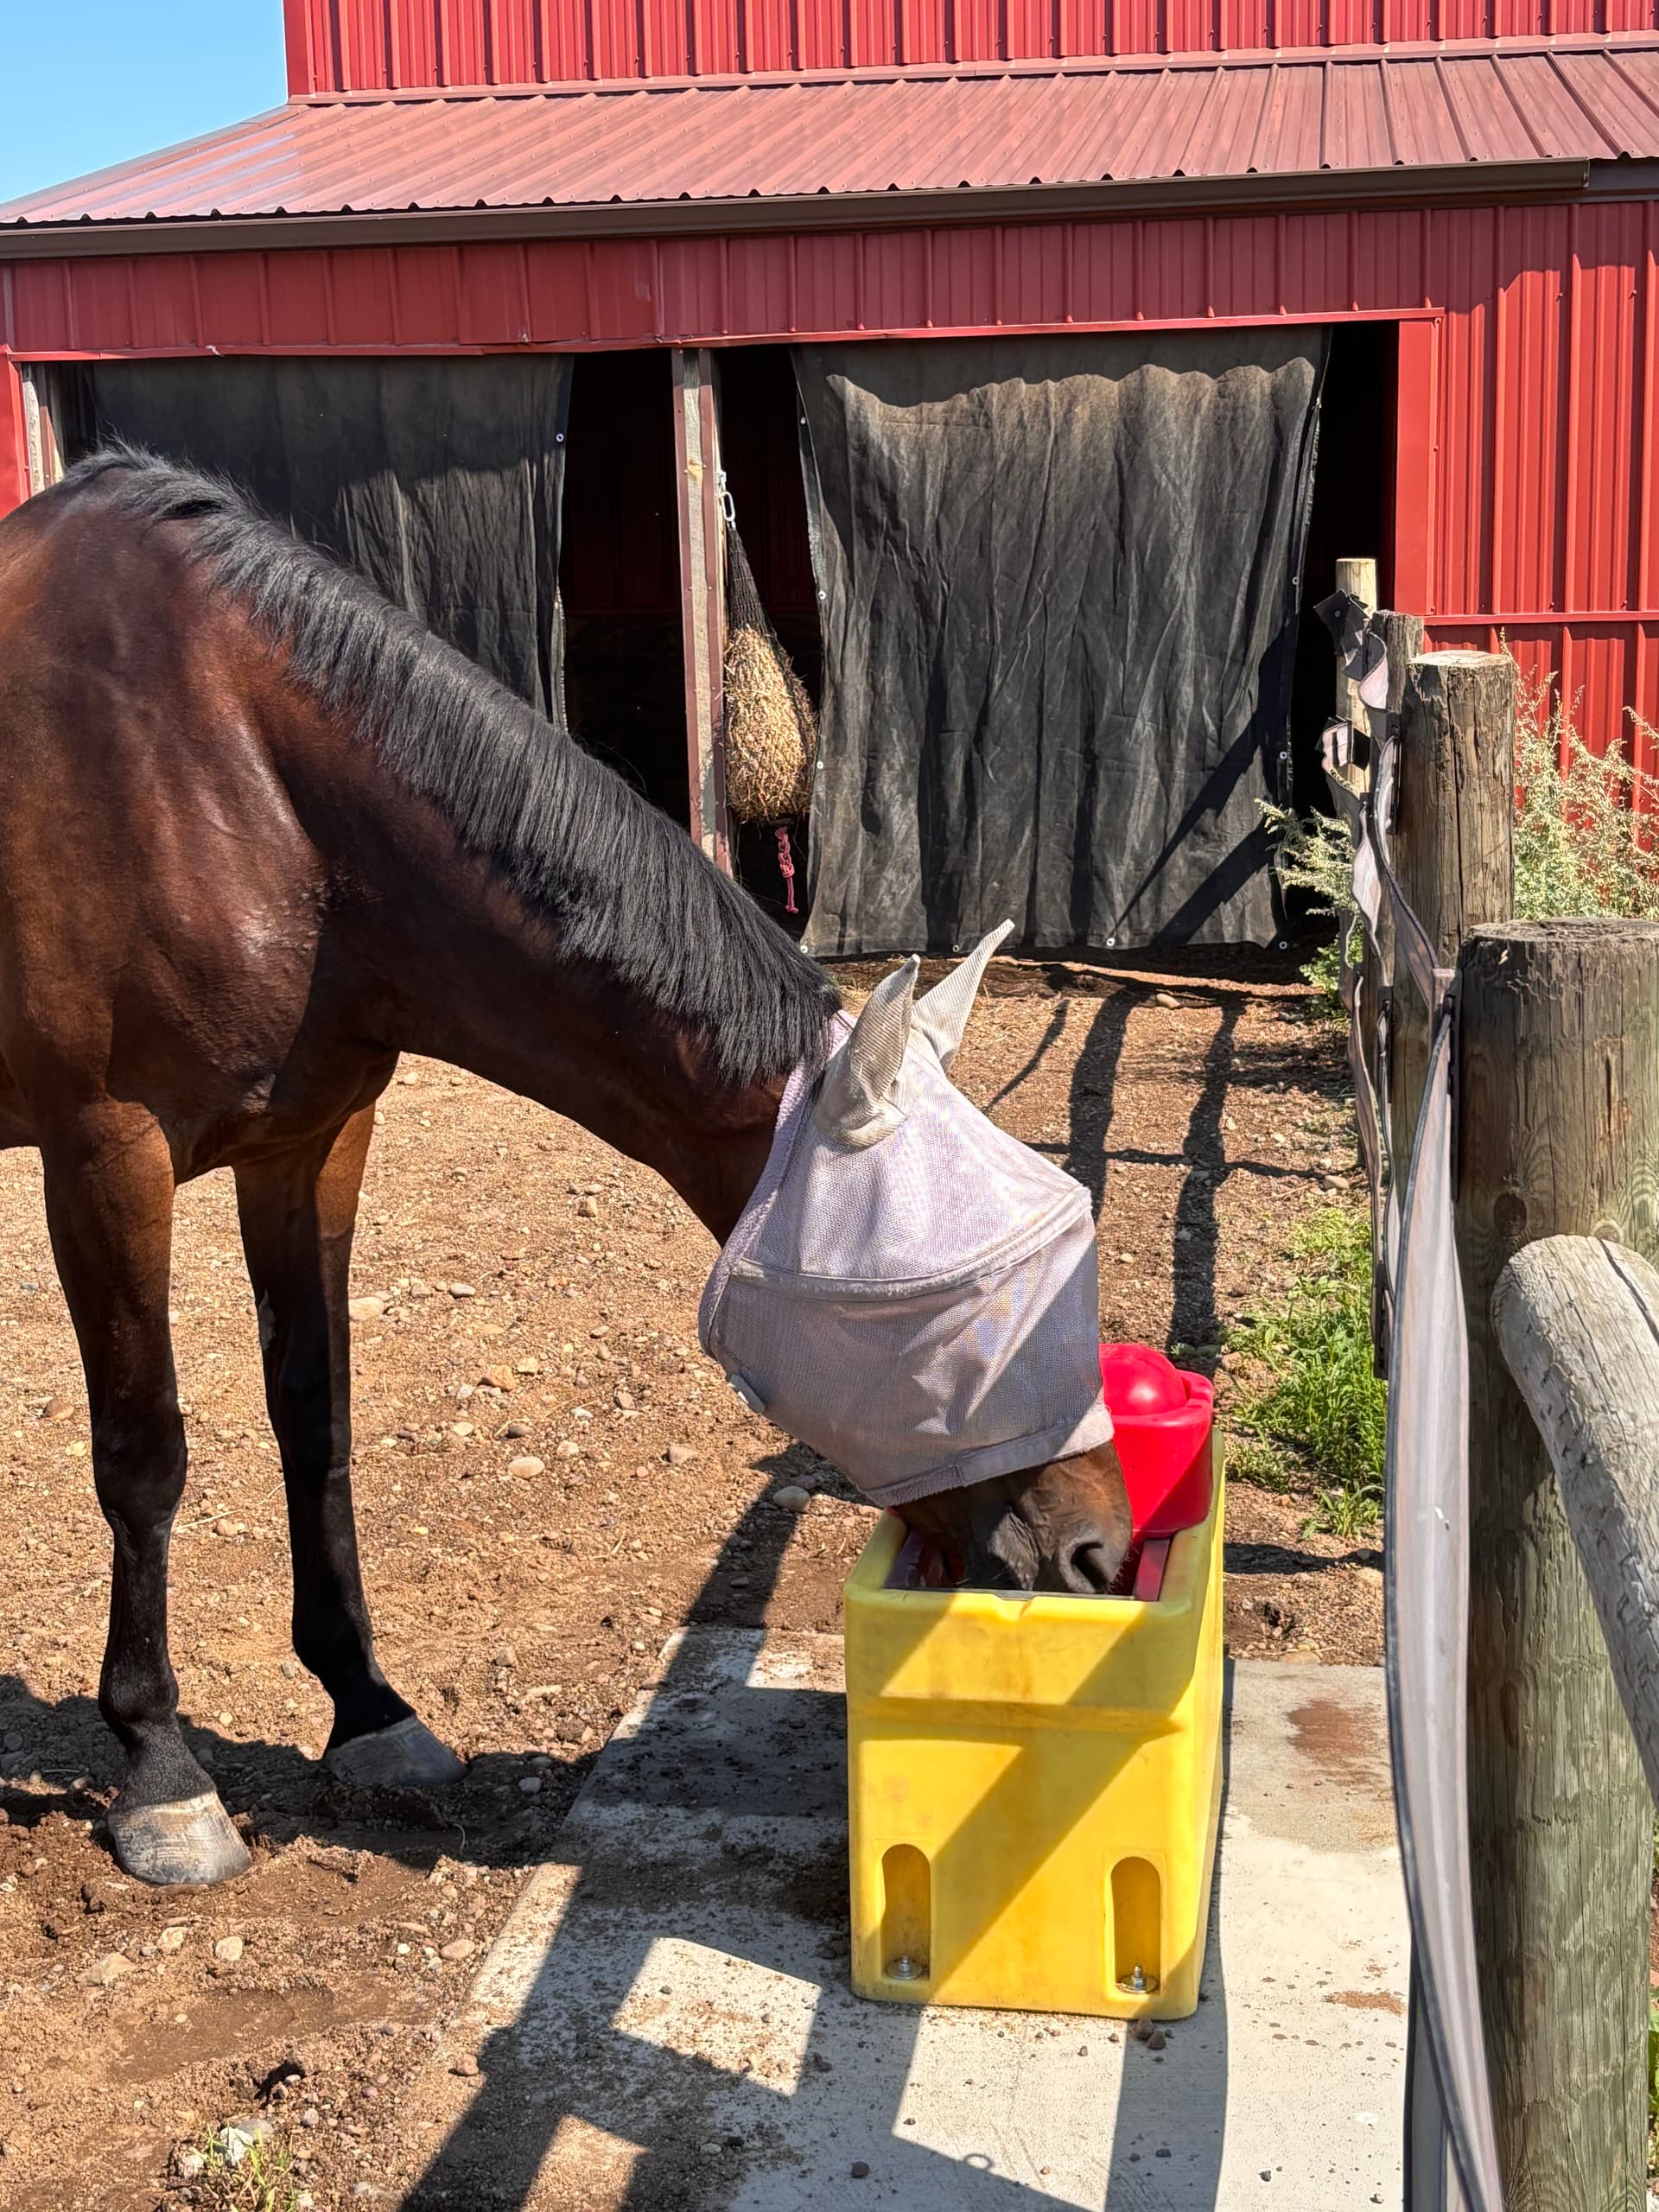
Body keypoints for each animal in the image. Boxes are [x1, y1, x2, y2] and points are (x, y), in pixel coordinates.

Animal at [0, 449, 1131, 1888]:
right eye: (944, 1315)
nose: (1101, 1551)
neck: (230, 777)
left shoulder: (313, 1142)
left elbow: (316, 1415)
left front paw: (367, 1709)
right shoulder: (106, 1155)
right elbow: (144, 1455)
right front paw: (160, 1771)